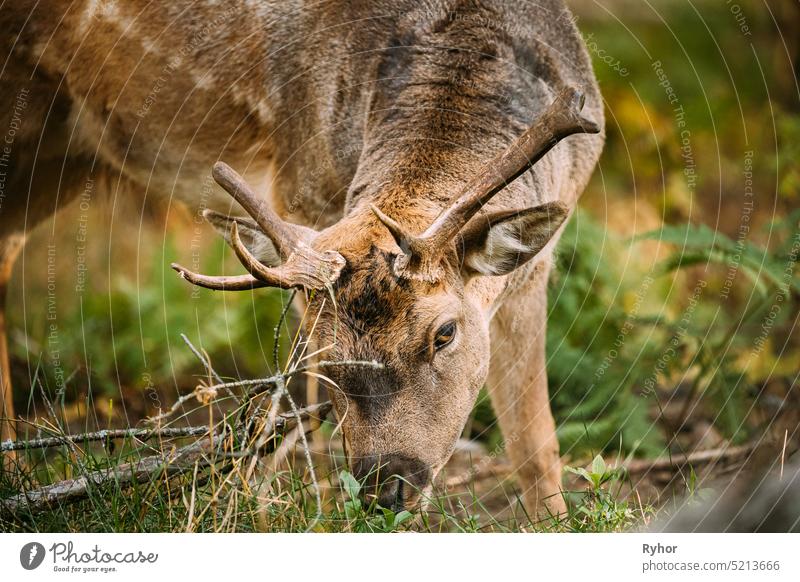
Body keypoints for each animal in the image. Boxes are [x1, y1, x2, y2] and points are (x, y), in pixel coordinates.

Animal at [0, 1, 600, 520]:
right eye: (320, 347)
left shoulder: (532, 269)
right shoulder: (301, 195)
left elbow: (535, 446)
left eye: (445, 333)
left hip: (64, 148)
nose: (387, 489)